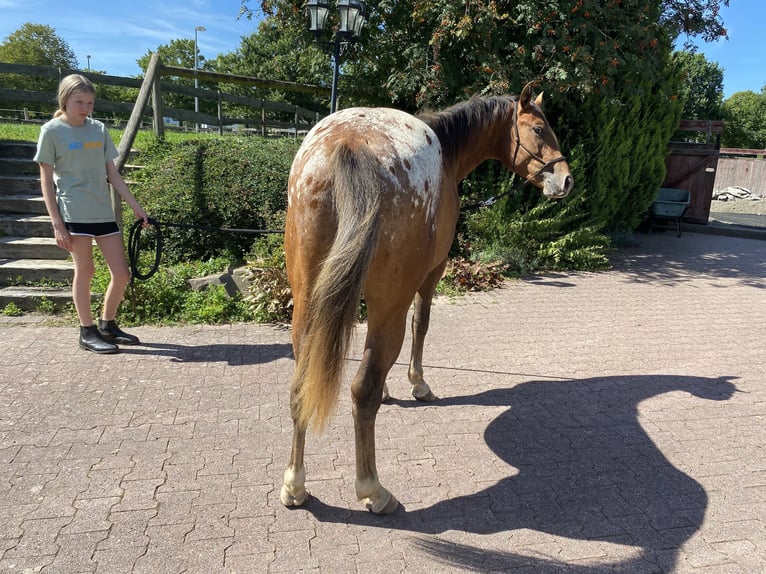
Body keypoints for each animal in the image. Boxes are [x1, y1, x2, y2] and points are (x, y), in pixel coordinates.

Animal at [280, 82, 572, 516]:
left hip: (307, 303)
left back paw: (295, 485)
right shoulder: (431, 275)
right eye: (538, 129)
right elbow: (423, 325)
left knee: (303, 383)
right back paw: (373, 490)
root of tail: (348, 146)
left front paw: (391, 388)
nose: (566, 180)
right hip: (389, 303)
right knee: (362, 390)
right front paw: (418, 384)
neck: (448, 155)